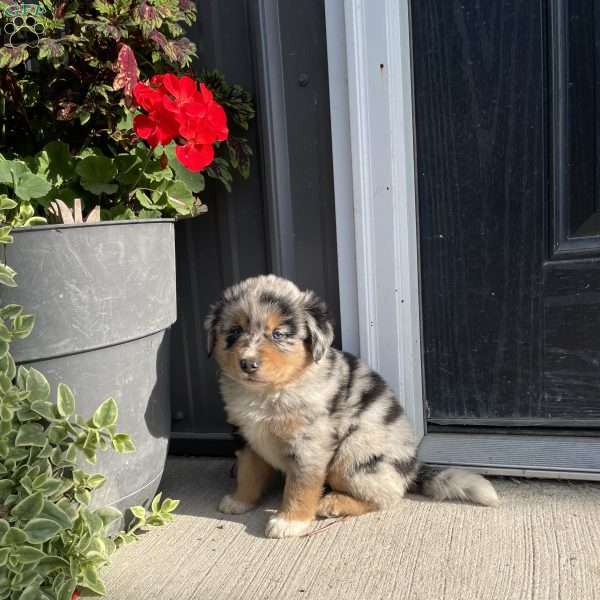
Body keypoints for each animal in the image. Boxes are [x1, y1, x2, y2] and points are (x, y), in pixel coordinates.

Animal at [204, 274, 500, 536]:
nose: (247, 363)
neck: (270, 392)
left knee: (387, 496)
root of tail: (412, 469)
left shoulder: (309, 444)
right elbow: (248, 471)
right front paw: (239, 501)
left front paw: (290, 522)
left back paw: (333, 503)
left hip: (351, 455)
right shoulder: (245, 436)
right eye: (234, 332)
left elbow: (300, 486)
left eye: (278, 334)